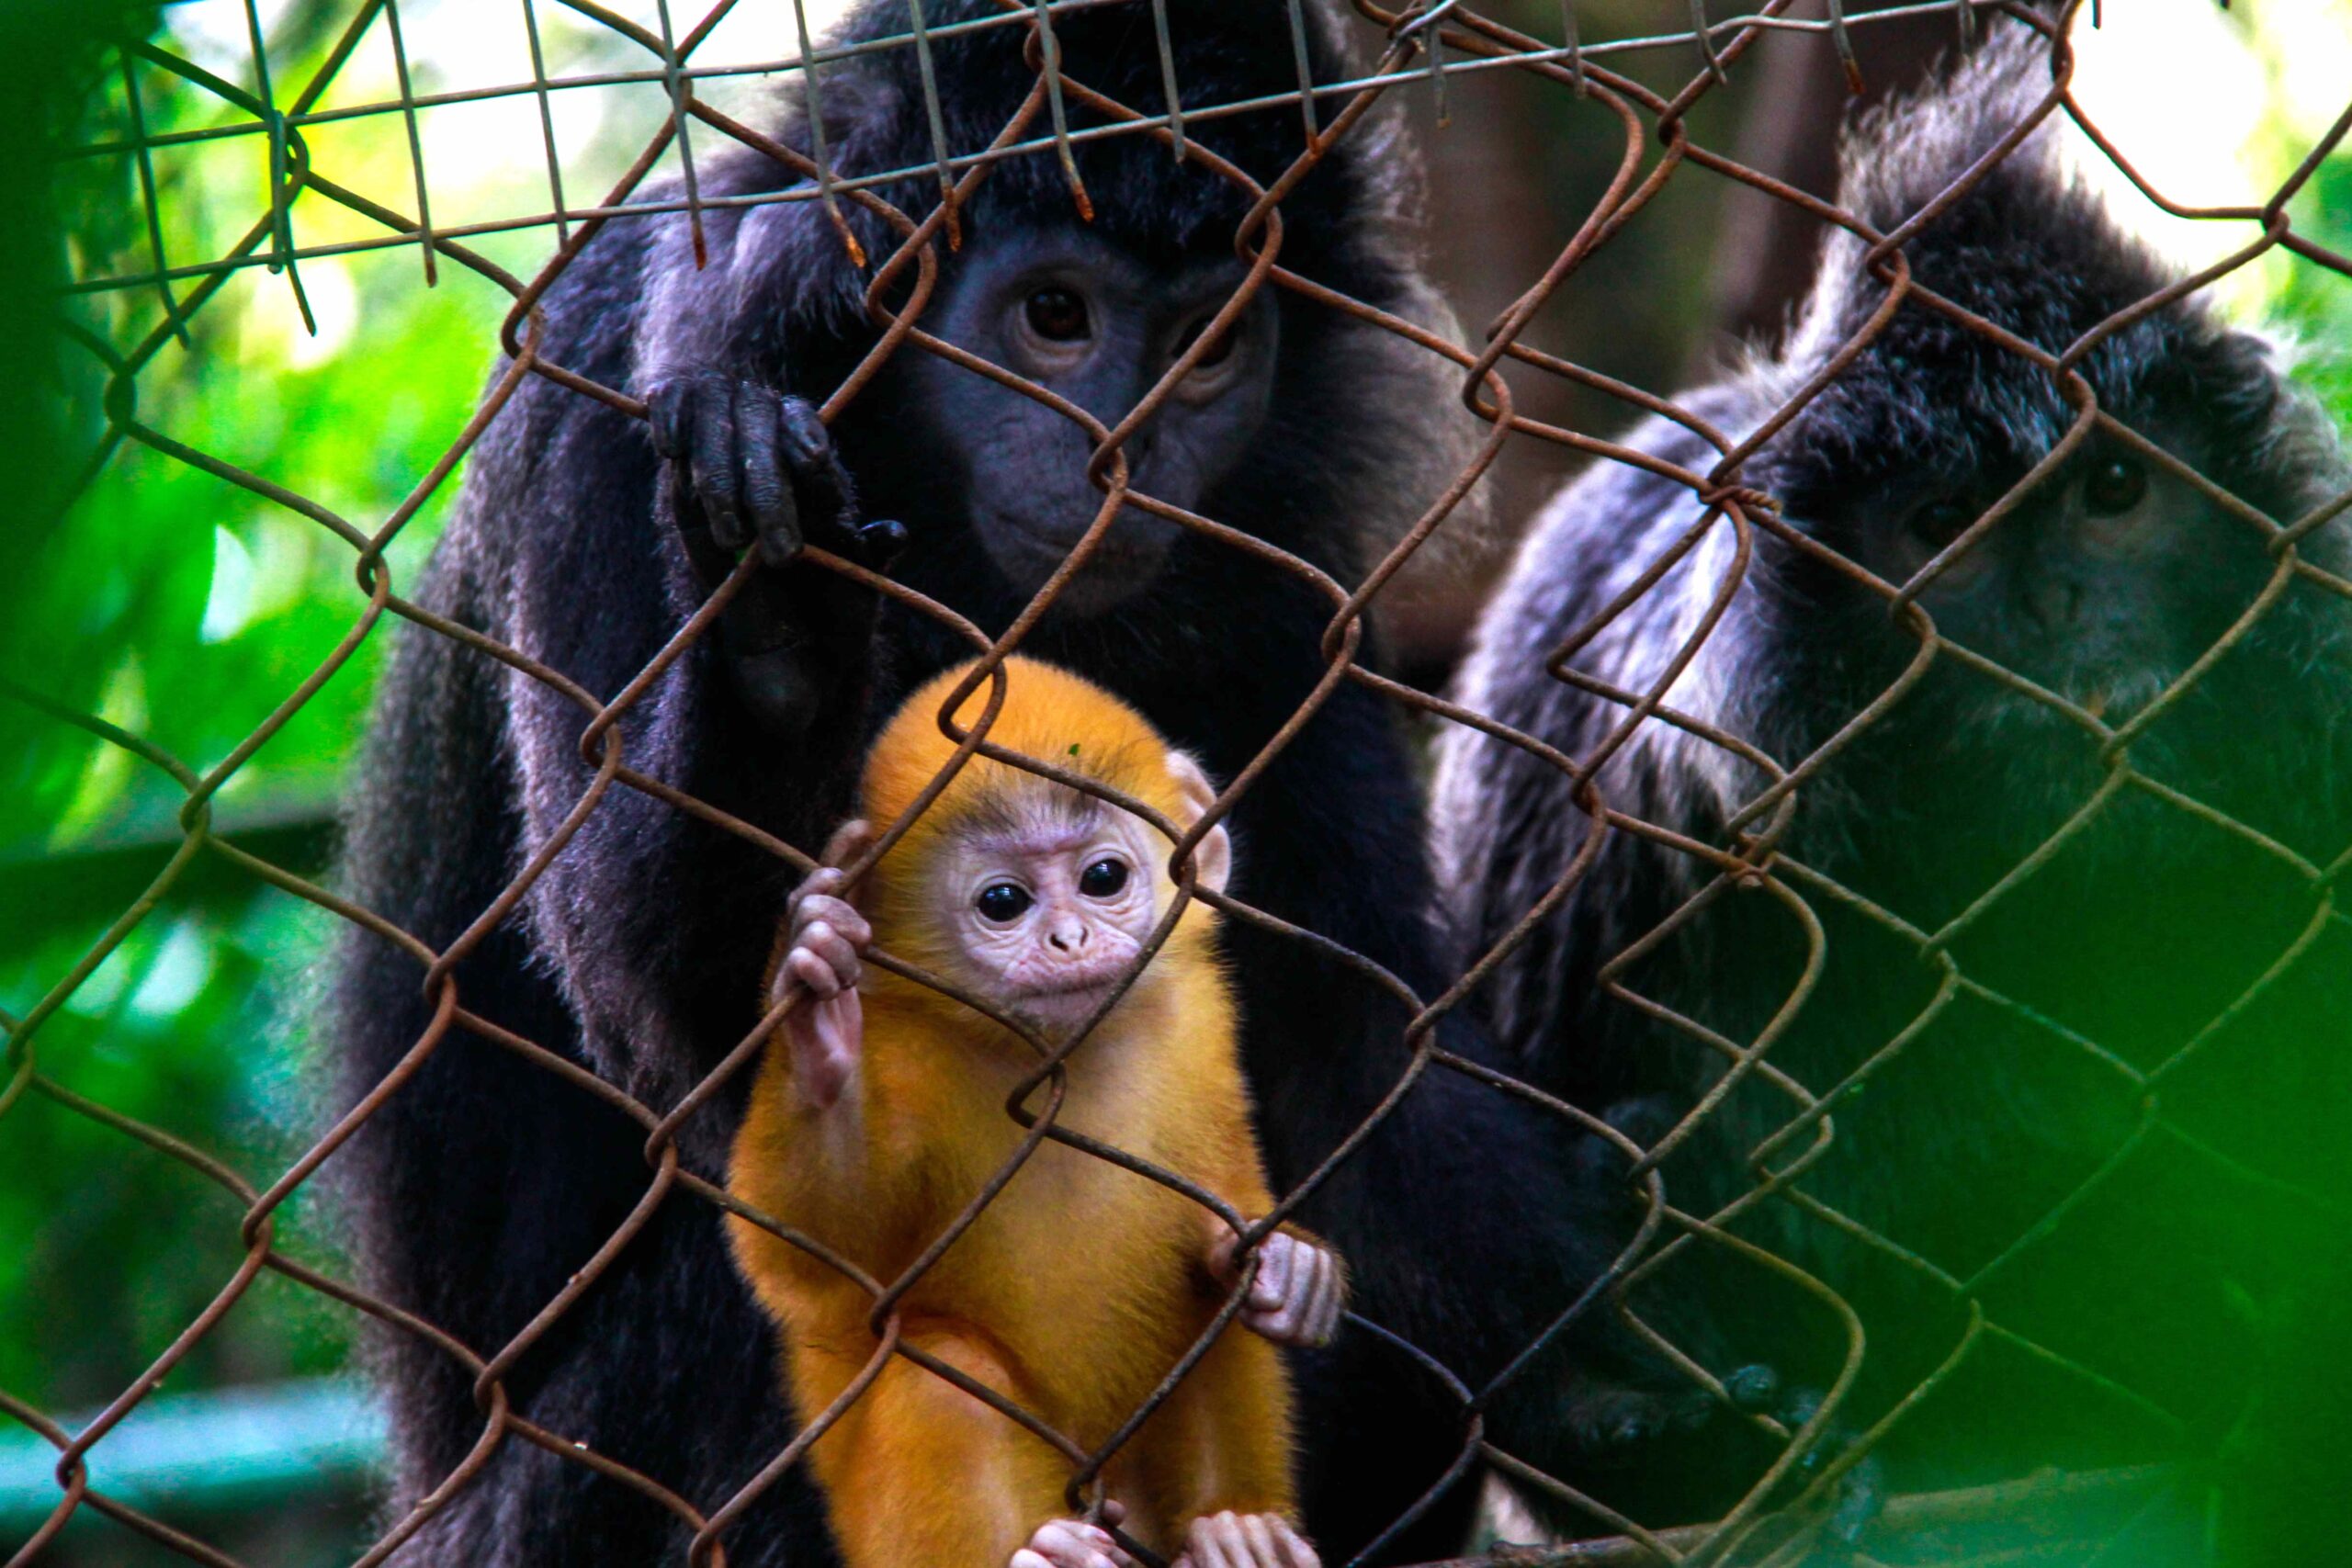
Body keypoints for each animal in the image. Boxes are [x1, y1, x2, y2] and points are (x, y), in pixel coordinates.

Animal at [727, 656, 1339, 1568]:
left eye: (1103, 879)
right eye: (1004, 901)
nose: (1070, 940)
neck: (1059, 1056)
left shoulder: (1198, 1023)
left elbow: (1226, 1203)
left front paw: (1295, 1268)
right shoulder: (901, 1054)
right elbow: (804, 1261)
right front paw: (817, 1036)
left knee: (1209, 1303)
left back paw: (1233, 1531)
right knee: (945, 1375)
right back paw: (1047, 1552)